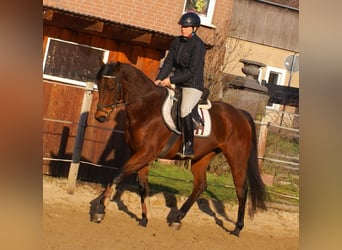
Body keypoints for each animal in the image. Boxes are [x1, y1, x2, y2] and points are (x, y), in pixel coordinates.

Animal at [91, 61, 268, 236]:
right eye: (99, 84)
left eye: (111, 87)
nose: (100, 117)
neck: (146, 108)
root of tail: (240, 113)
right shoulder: (139, 153)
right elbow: (142, 185)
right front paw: (144, 218)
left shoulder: (146, 153)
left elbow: (117, 175)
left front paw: (100, 210)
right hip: (202, 157)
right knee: (200, 185)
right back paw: (177, 218)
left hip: (236, 158)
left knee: (241, 189)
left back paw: (237, 228)